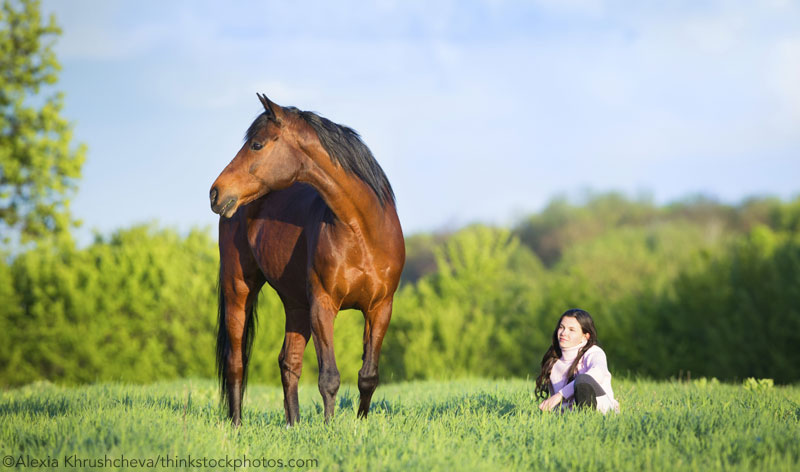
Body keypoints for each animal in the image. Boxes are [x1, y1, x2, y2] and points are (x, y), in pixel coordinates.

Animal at [209, 94, 406, 426]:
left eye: (257, 145)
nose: (215, 192)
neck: (362, 231)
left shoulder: (380, 308)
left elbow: (368, 376)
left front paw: (360, 425)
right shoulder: (323, 305)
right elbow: (329, 377)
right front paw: (329, 428)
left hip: (295, 304)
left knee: (288, 362)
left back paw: (294, 424)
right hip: (238, 288)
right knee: (236, 361)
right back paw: (236, 425)